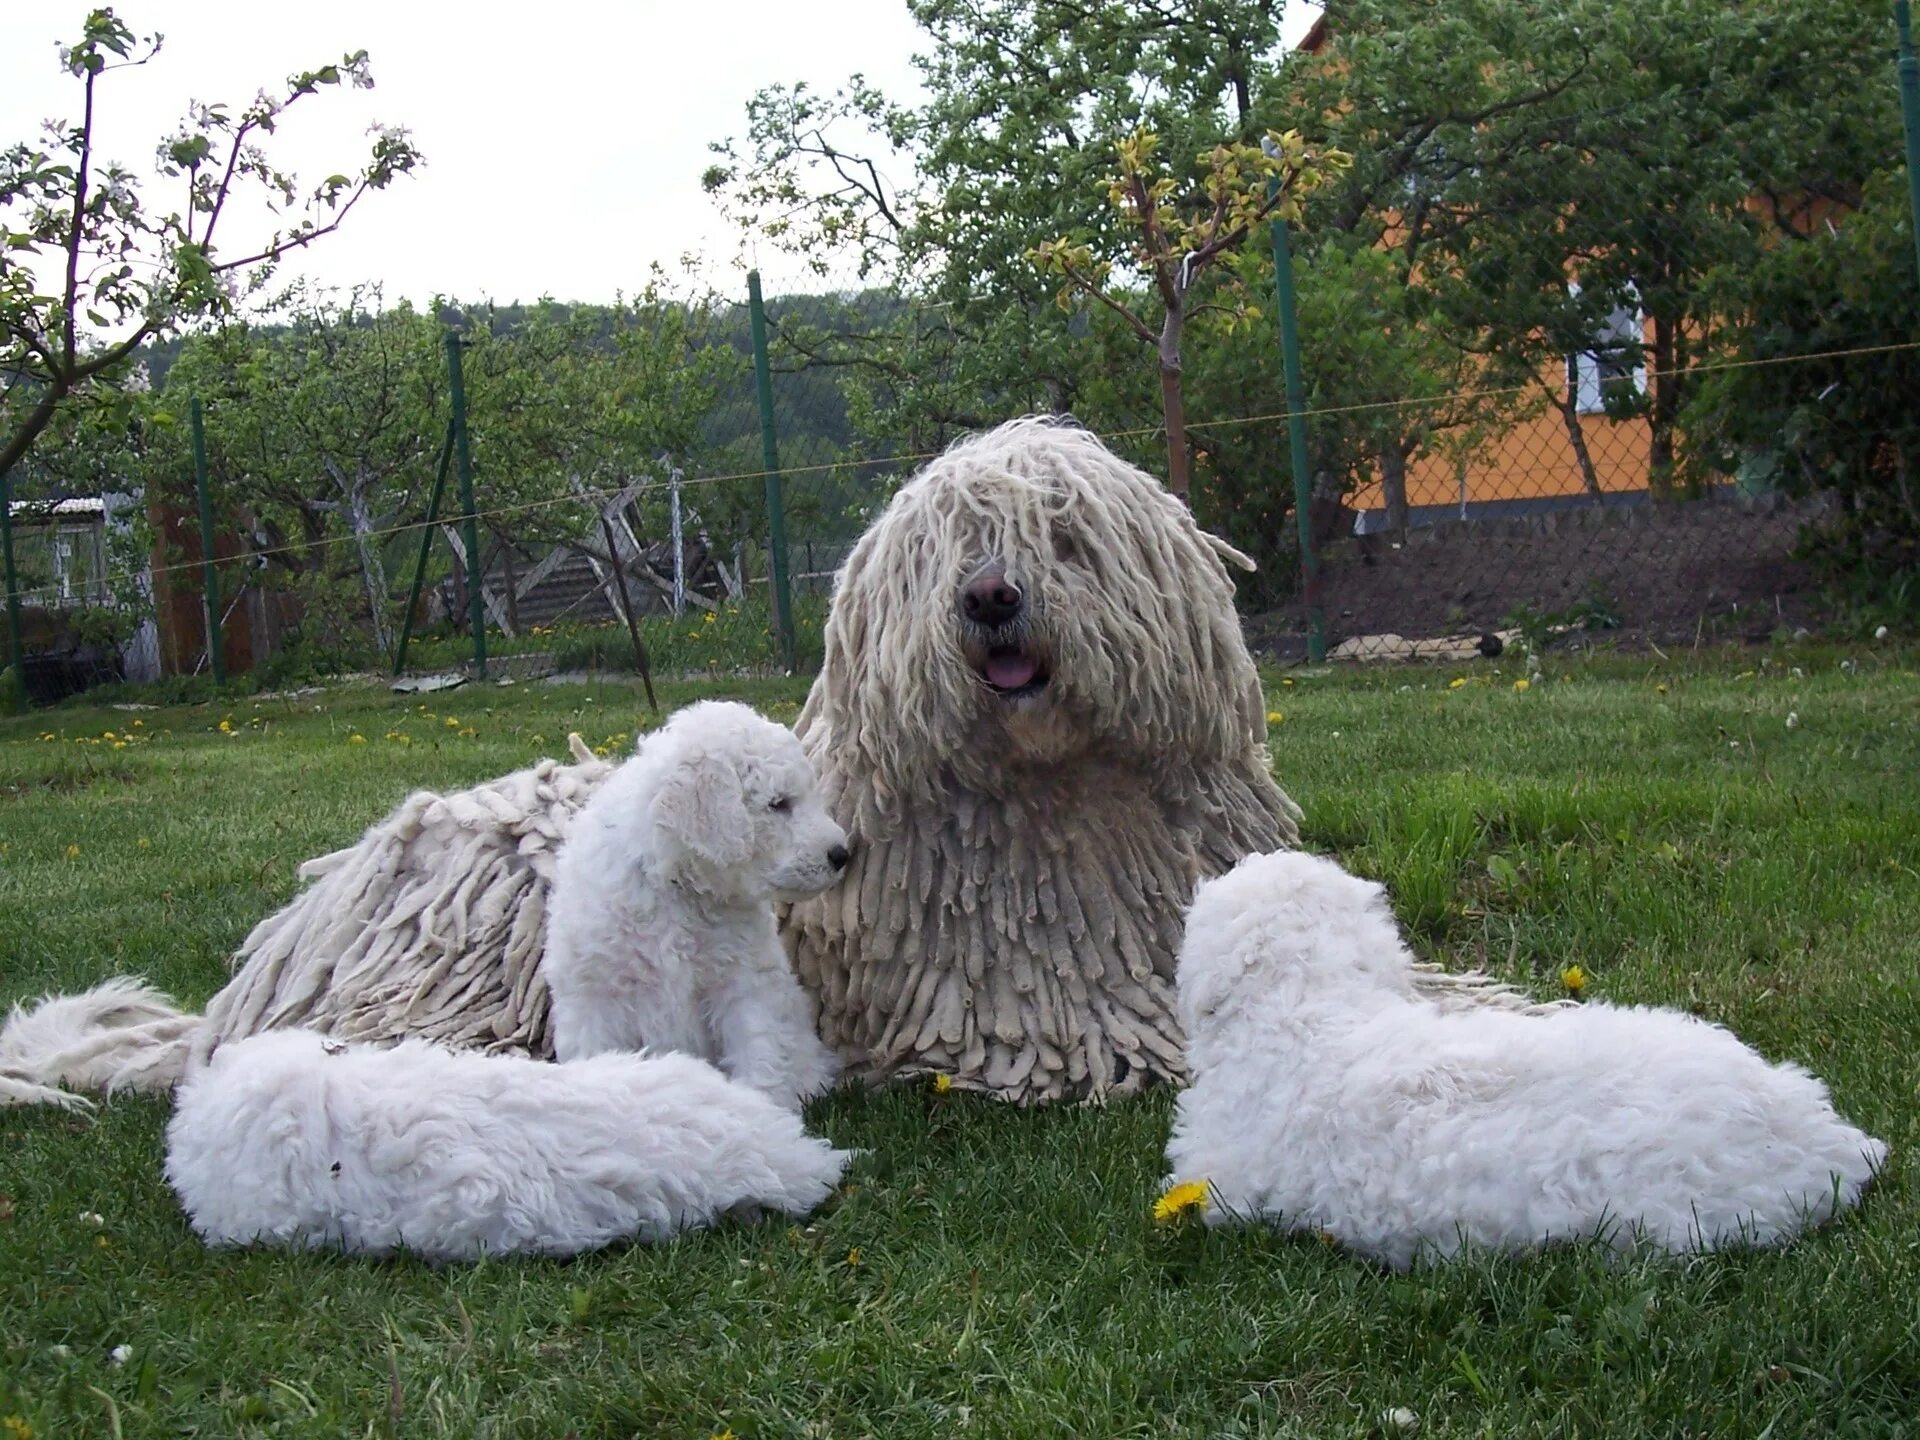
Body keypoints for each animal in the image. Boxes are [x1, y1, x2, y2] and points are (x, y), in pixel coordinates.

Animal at [541, 706, 840, 1113]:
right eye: (779, 804)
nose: (842, 853)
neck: (676, 889)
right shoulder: (594, 998)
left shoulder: (743, 983)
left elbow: (759, 1050)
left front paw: (763, 1109)